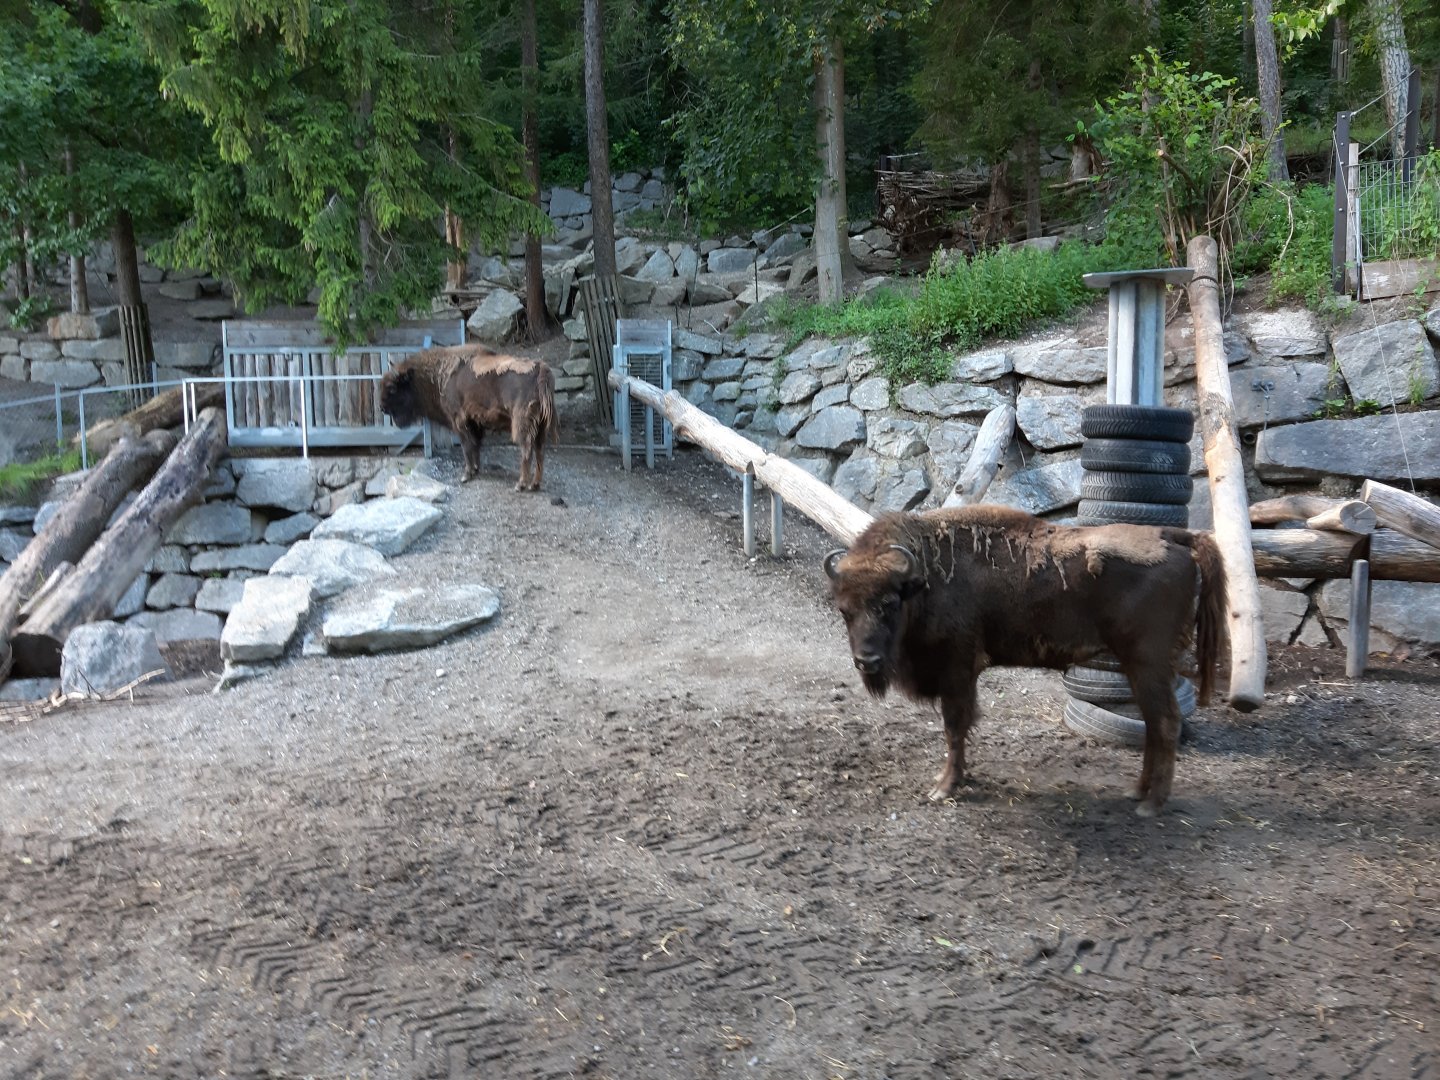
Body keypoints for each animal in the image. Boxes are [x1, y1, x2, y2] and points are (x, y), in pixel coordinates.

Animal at [379, 344, 558, 490]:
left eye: (392, 388)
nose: (382, 408)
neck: (438, 374)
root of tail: (541, 369)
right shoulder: (475, 423)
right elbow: (476, 445)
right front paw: (476, 469)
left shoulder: (459, 421)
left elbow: (467, 446)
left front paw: (466, 475)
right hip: (541, 426)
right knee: (539, 451)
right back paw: (535, 484)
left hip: (522, 424)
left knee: (526, 450)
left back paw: (521, 485)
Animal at [825, 505, 1226, 817]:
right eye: (844, 609)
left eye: (889, 604)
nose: (867, 660)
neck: (922, 579)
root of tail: (1175, 537)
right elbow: (961, 728)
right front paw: (954, 779)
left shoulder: (957, 671)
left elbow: (954, 727)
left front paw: (945, 787)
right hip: (1137, 668)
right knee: (1153, 724)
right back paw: (1136, 792)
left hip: (1148, 664)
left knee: (1166, 723)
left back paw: (1151, 805)